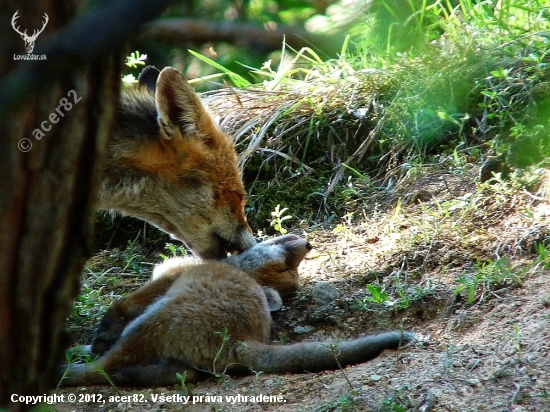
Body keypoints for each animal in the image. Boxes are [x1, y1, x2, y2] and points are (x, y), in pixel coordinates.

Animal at [59, 235, 414, 386]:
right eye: (287, 266)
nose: (308, 245)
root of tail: (241, 341)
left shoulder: (162, 283)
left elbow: (119, 310)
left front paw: (96, 339)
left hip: (156, 318)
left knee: (100, 371)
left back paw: (65, 371)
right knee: (183, 374)